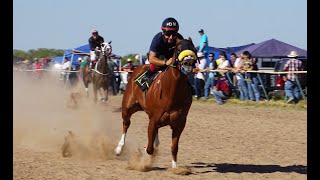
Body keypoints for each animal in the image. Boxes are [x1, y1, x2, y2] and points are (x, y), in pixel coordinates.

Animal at [115, 37, 198, 169]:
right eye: (178, 48)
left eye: (194, 48)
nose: (188, 63)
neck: (171, 92)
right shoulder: (153, 120)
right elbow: (149, 148)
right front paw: (143, 153)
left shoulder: (179, 123)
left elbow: (174, 147)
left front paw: (175, 168)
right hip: (128, 107)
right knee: (126, 124)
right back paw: (119, 148)